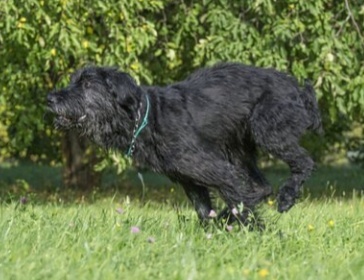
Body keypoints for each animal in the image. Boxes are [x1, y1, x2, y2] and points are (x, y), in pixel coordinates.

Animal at [47, 63, 322, 225]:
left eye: (87, 84)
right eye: (73, 80)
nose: (50, 98)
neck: (147, 117)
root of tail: (299, 89)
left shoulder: (215, 169)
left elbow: (237, 199)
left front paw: (255, 231)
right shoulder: (189, 179)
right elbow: (205, 211)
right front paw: (214, 231)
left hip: (267, 130)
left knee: (303, 162)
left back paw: (286, 198)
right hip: (239, 149)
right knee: (261, 186)